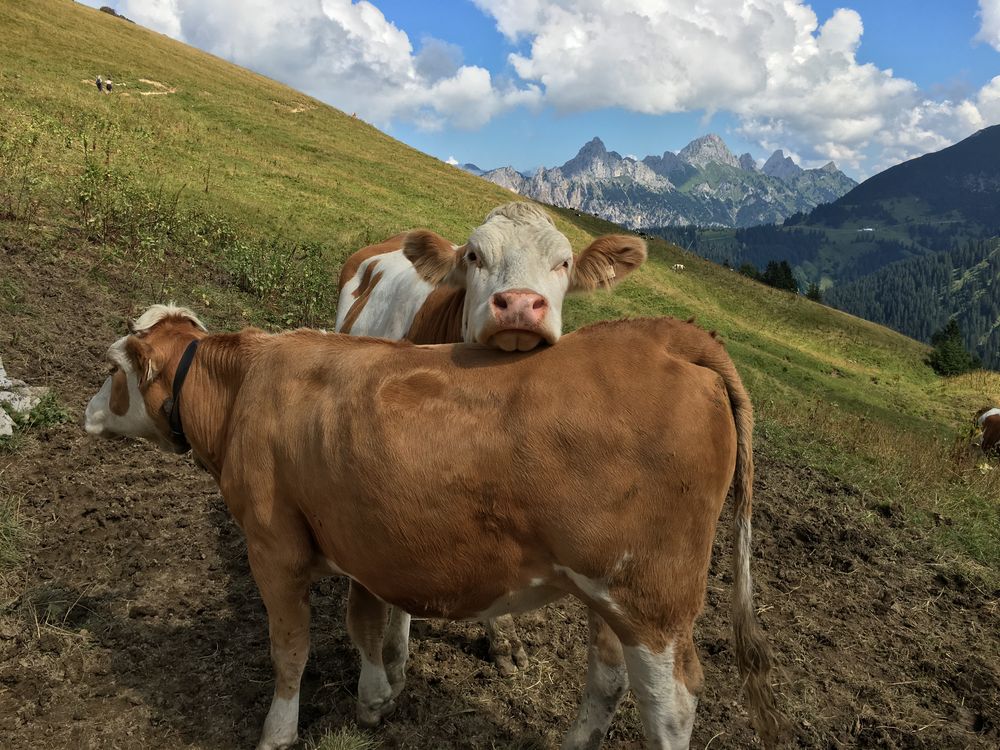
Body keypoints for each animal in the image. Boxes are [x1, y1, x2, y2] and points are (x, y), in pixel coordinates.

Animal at [86, 306, 784, 750]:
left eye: (114, 368)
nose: (87, 411)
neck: (246, 387)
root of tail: (665, 335)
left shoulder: (274, 547)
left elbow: (291, 649)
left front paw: (277, 733)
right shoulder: (360, 539)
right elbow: (364, 626)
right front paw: (376, 698)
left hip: (652, 602)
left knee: (671, 706)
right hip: (608, 593)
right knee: (609, 680)